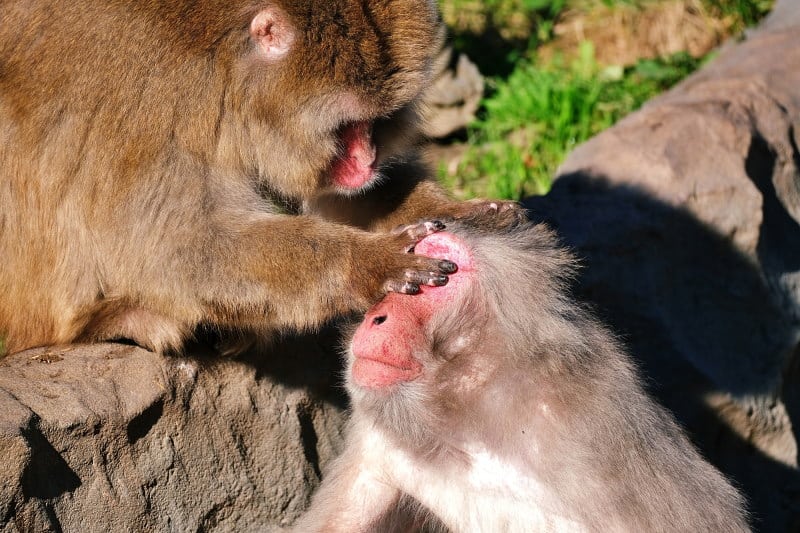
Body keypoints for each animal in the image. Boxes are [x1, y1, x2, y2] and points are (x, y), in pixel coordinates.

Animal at [0, 1, 523, 355]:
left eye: (378, 124)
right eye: (348, 127)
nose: (369, 162)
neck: (221, 63)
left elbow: (337, 198)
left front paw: (459, 211)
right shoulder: (150, 101)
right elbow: (175, 249)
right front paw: (367, 262)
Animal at [295, 223, 749, 532]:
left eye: (440, 276)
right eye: (399, 277)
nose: (376, 316)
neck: (468, 421)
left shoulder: (599, 435)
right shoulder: (381, 437)